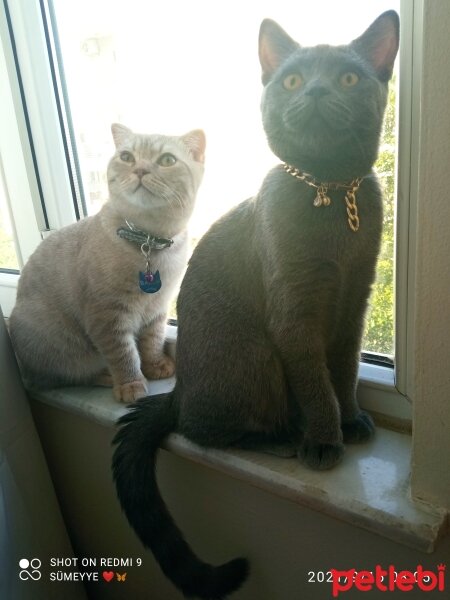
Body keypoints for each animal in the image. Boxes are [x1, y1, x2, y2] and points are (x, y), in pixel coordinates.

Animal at [9, 124, 206, 400]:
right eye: (127, 157)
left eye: (167, 160)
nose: (140, 170)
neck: (149, 240)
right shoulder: (107, 316)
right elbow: (124, 354)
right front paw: (130, 384)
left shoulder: (158, 308)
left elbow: (152, 341)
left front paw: (155, 365)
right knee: (64, 377)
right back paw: (105, 377)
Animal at [113, 11, 400, 596]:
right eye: (291, 81)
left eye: (348, 78)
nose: (314, 90)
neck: (331, 194)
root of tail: (179, 388)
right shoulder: (294, 314)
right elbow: (316, 382)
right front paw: (325, 437)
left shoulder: (353, 302)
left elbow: (344, 369)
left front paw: (352, 418)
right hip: (255, 354)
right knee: (203, 430)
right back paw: (285, 440)